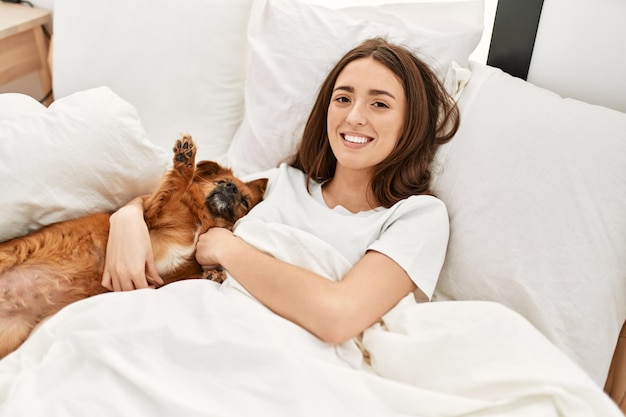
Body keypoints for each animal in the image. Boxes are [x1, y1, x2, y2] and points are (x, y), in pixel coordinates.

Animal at [0, 133, 266, 358]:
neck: (204, 218)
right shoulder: (151, 215)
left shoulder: (167, 280)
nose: (231, 188)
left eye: (244, 202)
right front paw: (185, 160)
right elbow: (176, 185)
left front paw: (214, 272)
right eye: (222, 181)